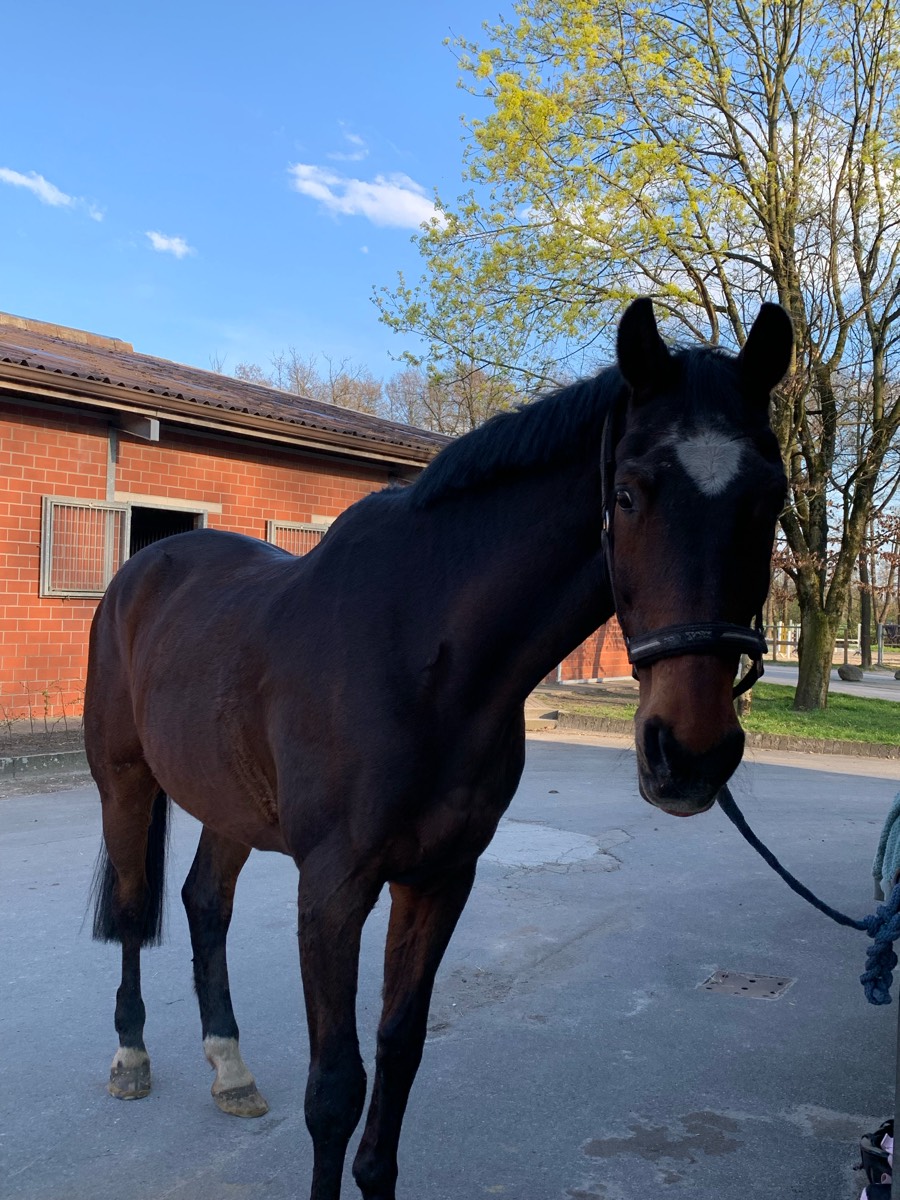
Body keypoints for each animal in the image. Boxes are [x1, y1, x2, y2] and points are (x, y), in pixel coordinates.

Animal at [85, 298, 792, 1200]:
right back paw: (129, 1057)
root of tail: (145, 567)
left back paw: (230, 1069)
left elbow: (399, 1052)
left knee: (205, 903)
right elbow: (336, 1086)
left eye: (770, 497)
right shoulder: (334, 890)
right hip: (124, 782)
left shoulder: (440, 879)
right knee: (134, 905)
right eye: (629, 494)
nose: (691, 753)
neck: (424, 653)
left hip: (229, 803)